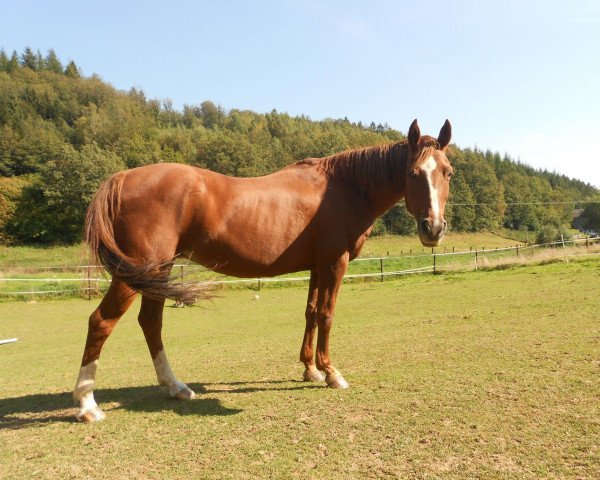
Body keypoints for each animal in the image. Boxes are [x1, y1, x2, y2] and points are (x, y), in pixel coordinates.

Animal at [74, 119, 450, 420]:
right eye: (413, 173)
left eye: (447, 172)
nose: (433, 229)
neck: (345, 187)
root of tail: (122, 177)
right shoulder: (334, 262)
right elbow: (327, 314)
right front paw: (331, 373)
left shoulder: (317, 266)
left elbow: (311, 312)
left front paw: (310, 369)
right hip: (135, 272)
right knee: (101, 322)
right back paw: (87, 404)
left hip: (157, 271)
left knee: (151, 323)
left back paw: (175, 386)